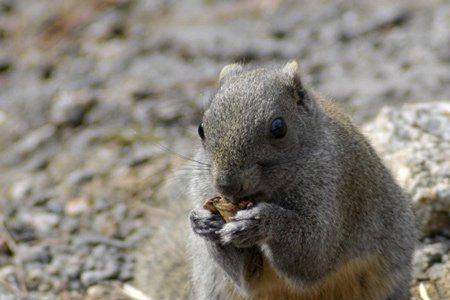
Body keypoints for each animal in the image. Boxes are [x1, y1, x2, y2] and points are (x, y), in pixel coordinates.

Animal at [135, 61, 416, 300]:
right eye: (201, 128)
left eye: (278, 128)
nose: (226, 185)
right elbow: (245, 276)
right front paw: (204, 221)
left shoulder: (336, 188)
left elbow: (315, 254)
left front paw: (260, 222)